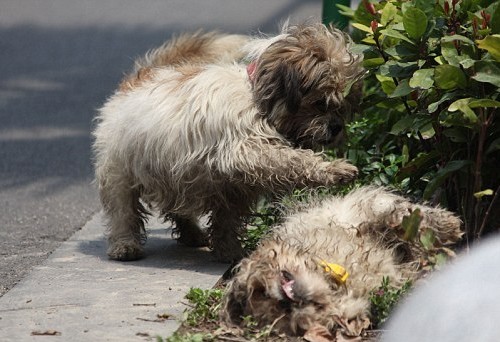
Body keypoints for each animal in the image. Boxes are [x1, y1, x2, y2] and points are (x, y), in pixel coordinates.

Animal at [92, 22, 364, 262]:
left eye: (343, 106)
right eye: (321, 102)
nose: (336, 127)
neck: (256, 98)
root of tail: (134, 82)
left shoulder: (233, 187)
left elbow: (227, 220)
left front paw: (228, 251)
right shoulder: (244, 150)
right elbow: (292, 159)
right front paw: (333, 169)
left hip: (175, 175)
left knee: (178, 206)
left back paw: (192, 233)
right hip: (120, 170)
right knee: (122, 210)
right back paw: (125, 245)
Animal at [221, 187, 462, 340]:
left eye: (260, 292)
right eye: (284, 312)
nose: (286, 300)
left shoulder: (349, 212)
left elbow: (390, 213)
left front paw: (445, 224)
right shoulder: (393, 280)